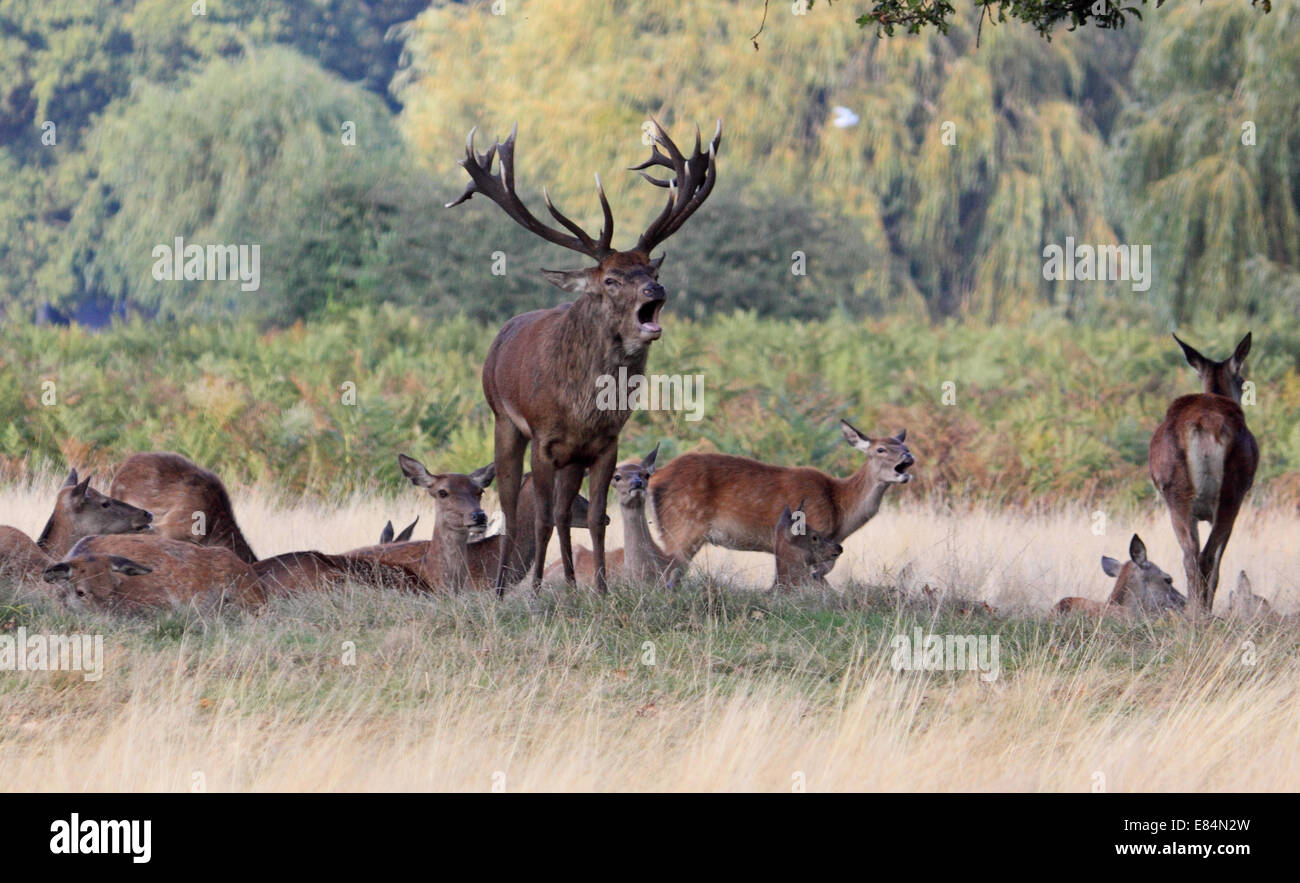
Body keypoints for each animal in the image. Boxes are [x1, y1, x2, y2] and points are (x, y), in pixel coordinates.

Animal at [447, 118, 721, 595]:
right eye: (611, 279)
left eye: (652, 270)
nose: (657, 290)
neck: (583, 406)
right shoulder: (543, 440)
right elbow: (536, 516)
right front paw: (536, 591)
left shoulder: (605, 443)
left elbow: (594, 518)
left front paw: (603, 591)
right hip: (503, 420)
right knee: (512, 506)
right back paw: (503, 589)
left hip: (571, 457)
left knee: (561, 512)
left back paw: (574, 584)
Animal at [648, 421, 913, 577]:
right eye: (881, 449)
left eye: (904, 445)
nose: (909, 457)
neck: (839, 512)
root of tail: (659, 474)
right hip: (682, 524)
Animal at [1149, 333, 1258, 615]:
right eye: (1242, 381)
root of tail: (1205, 424)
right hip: (1232, 492)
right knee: (1206, 557)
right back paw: (1201, 613)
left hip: (1177, 494)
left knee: (1191, 555)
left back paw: (1194, 611)